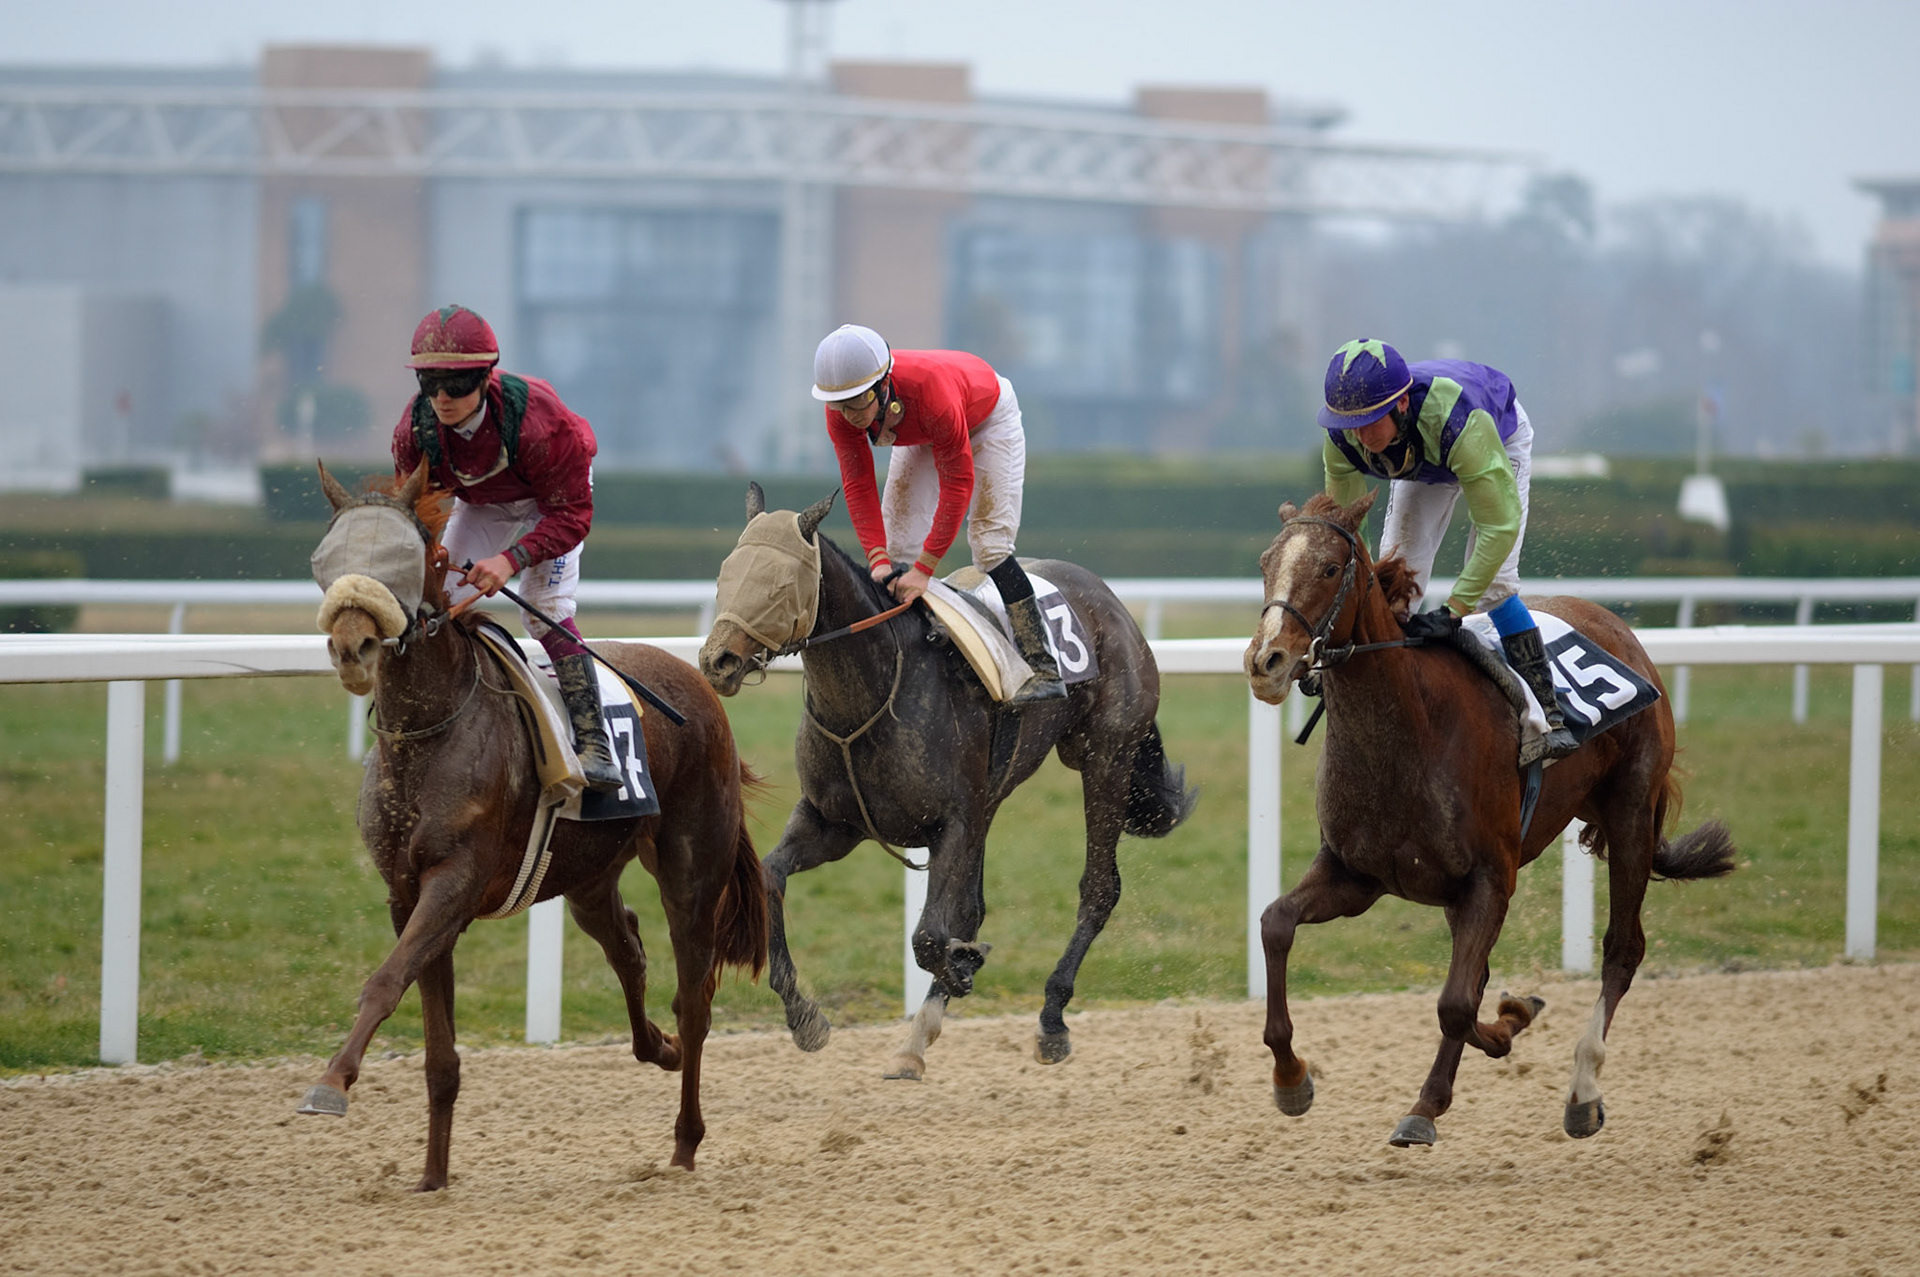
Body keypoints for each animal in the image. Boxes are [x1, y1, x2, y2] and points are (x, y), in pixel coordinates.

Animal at [299, 461, 768, 1187]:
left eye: (403, 558)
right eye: (326, 557)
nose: (353, 646)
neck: (431, 730)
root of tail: (698, 680)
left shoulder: (454, 881)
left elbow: (384, 982)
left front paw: (332, 1082)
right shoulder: (407, 892)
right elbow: (437, 1049)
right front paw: (432, 1175)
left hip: (693, 872)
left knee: (694, 1001)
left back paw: (684, 1142)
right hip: (588, 876)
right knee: (628, 946)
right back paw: (655, 1048)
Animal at [698, 484, 1197, 1078]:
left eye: (777, 586)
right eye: (726, 574)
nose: (716, 660)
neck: (870, 696)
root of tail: (1111, 601)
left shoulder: (950, 824)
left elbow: (930, 936)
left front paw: (961, 968)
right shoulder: (833, 822)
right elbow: (771, 877)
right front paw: (804, 1015)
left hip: (1106, 758)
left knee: (1099, 888)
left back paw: (1050, 1018)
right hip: (997, 794)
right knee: (975, 905)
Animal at [1243, 491, 1736, 1146]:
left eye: (1328, 569)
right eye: (1265, 563)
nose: (1265, 662)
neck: (1411, 726)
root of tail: (1619, 629)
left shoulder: (1491, 879)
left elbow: (1456, 1003)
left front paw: (1449, 1083)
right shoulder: (1358, 874)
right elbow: (1276, 923)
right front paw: (1291, 1077)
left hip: (1631, 809)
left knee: (1622, 948)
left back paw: (1583, 1090)